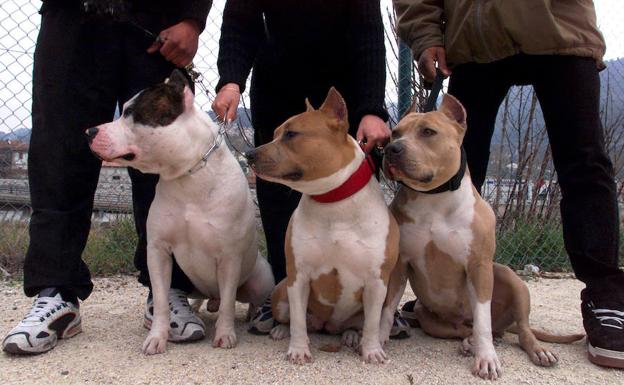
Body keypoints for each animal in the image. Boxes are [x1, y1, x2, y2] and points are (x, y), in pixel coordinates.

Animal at [87, 70, 272, 354]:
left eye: (132, 113)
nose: (89, 131)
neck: (189, 176)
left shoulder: (229, 258)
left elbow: (229, 302)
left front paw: (225, 334)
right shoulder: (158, 251)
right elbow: (162, 300)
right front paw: (157, 336)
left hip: (260, 279)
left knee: (242, 298)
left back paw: (254, 315)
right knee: (202, 298)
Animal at [245, 87, 400, 364]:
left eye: (291, 134)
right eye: (274, 134)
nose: (249, 154)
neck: (333, 203)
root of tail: (328, 325)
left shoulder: (377, 281)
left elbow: (372, 324)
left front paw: (371, 350)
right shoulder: (298, 276)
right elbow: (298, 320)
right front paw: (298, 349)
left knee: (357, 324)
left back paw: (351, 336)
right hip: (282, 290)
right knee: (292, 318)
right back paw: (280, 330)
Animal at [380, 94, 584, 378]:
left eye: (428, 132)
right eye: (395, 133)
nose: (391, 149)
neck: (434, 199)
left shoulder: (479, 266)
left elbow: (483, 320)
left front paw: (487, 358)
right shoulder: (400, 265)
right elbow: (387, 307)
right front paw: (377, 339)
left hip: (510, 278)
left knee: (518, 329)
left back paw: (535, 349)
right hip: (426, 313)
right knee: (464, 329)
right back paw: (469, 342)